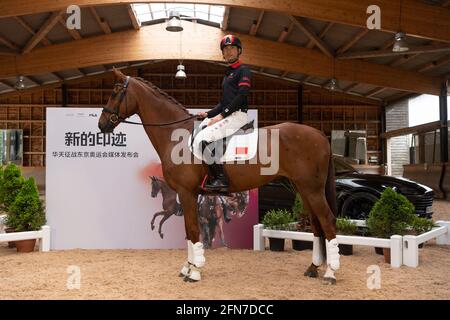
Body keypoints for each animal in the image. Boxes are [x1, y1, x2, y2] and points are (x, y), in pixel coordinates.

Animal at [97, 69, 338, 284]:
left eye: (115, 92)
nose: (102, 124)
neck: (178, 137)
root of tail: (320, 135)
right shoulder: (186, 196)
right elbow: (188, 231)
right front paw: (187, 267)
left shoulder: (187, 193)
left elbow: (193, 230)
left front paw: (194, 272)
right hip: (303, 189)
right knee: (316, 224)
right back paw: (313, 268)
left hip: (312, 189)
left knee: (327, 221)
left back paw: (330, 273)